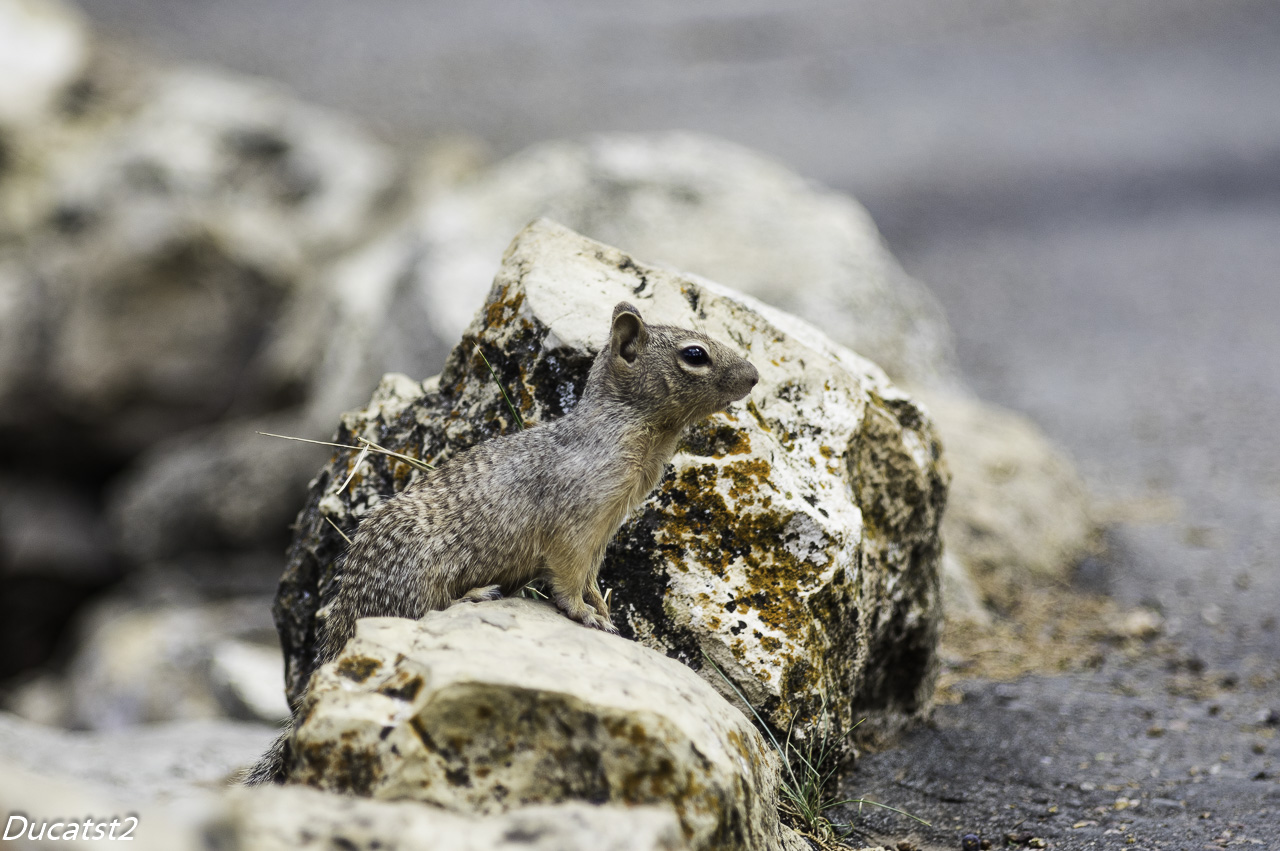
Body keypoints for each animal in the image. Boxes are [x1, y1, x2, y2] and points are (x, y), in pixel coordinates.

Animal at [243, 301, 758, 784]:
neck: (627, 435)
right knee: (424, 609)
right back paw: (477, 593)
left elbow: (593, 579)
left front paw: (607, 613)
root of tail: (335, 638)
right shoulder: (576, 529)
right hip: (414, 577)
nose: (754, 376)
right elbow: (568, 581)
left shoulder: (603, 534)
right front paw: (587, 615)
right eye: (695, 354)